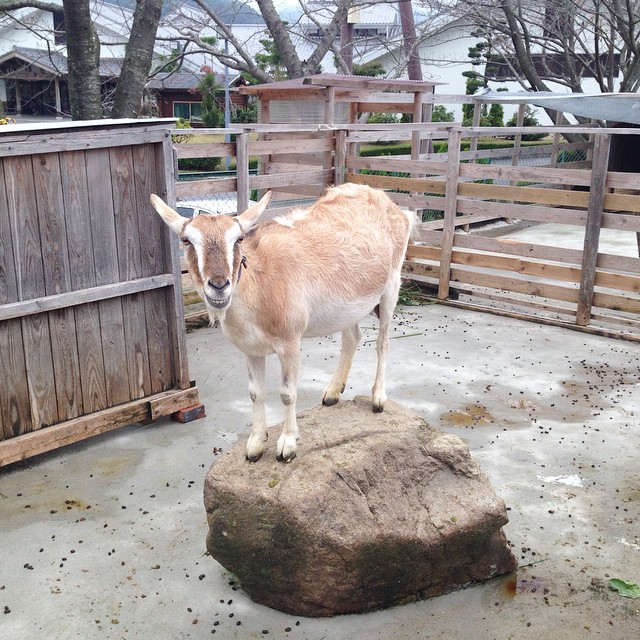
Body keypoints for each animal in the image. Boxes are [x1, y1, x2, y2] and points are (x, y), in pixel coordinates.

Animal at [152, 182, 418, 462]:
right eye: (186, 240)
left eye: (238, 239)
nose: (219, 285)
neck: (259, 285)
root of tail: (395, 207)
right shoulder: (251, 349)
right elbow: (255, 392)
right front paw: (255, 445)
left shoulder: (290, 341)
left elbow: (287, 393)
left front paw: (287, 445)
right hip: (350, 306)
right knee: (353, 337)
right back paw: (332, 393)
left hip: (392, 286)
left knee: (383, 342)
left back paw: (378, 398)